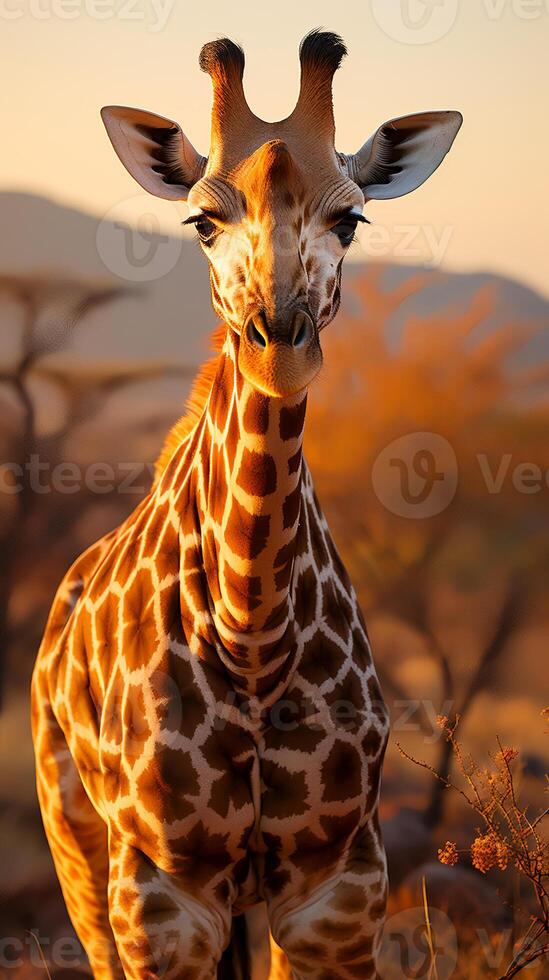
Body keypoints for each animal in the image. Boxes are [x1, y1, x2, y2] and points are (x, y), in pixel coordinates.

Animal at [32, 30, 460, 980]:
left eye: (351, 219)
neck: (251, 635)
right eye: (201, 220)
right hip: (77, 847)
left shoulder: (336, 885)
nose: (281, 345)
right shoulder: (163, 895)